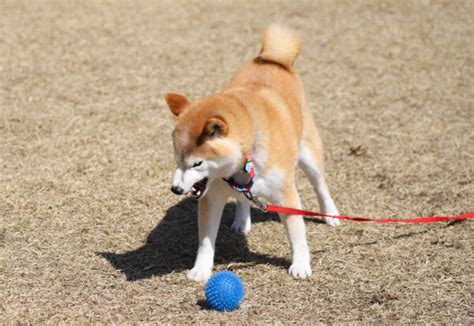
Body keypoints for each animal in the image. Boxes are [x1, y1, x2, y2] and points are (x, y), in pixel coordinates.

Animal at [165, 24, 338, 282]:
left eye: (197, 164)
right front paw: (201, 269)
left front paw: (300, 264)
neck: (245, 158)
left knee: (320, 185)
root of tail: (271, 59)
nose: (176, 189)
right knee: (242, 197)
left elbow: (297, 234)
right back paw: (241, 220)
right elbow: (206, 241)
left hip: (309, 153)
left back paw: (330, 214)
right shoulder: (212, 196)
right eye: (177, 160)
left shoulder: (286, 194)